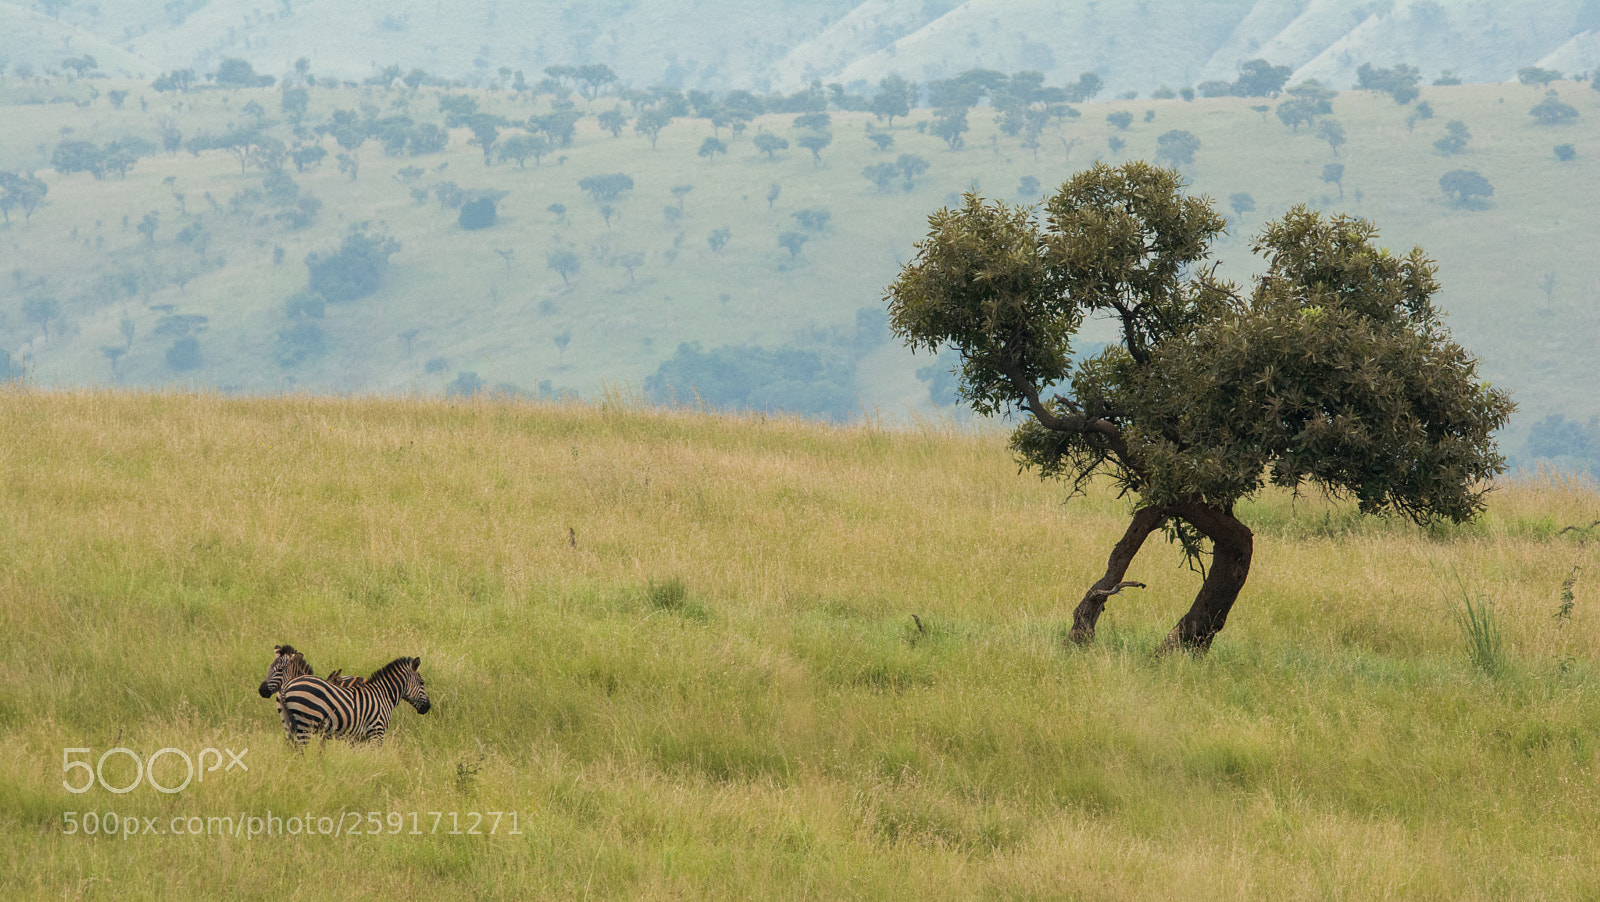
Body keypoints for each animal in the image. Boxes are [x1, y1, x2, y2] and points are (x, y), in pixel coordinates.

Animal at [278, 656, 429, 746]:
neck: (383, 695)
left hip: (289, 723)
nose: (428, 707)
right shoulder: (377, 731)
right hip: (306, 722)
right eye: (422, 683)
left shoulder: (359, 737)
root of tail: (286, 686)